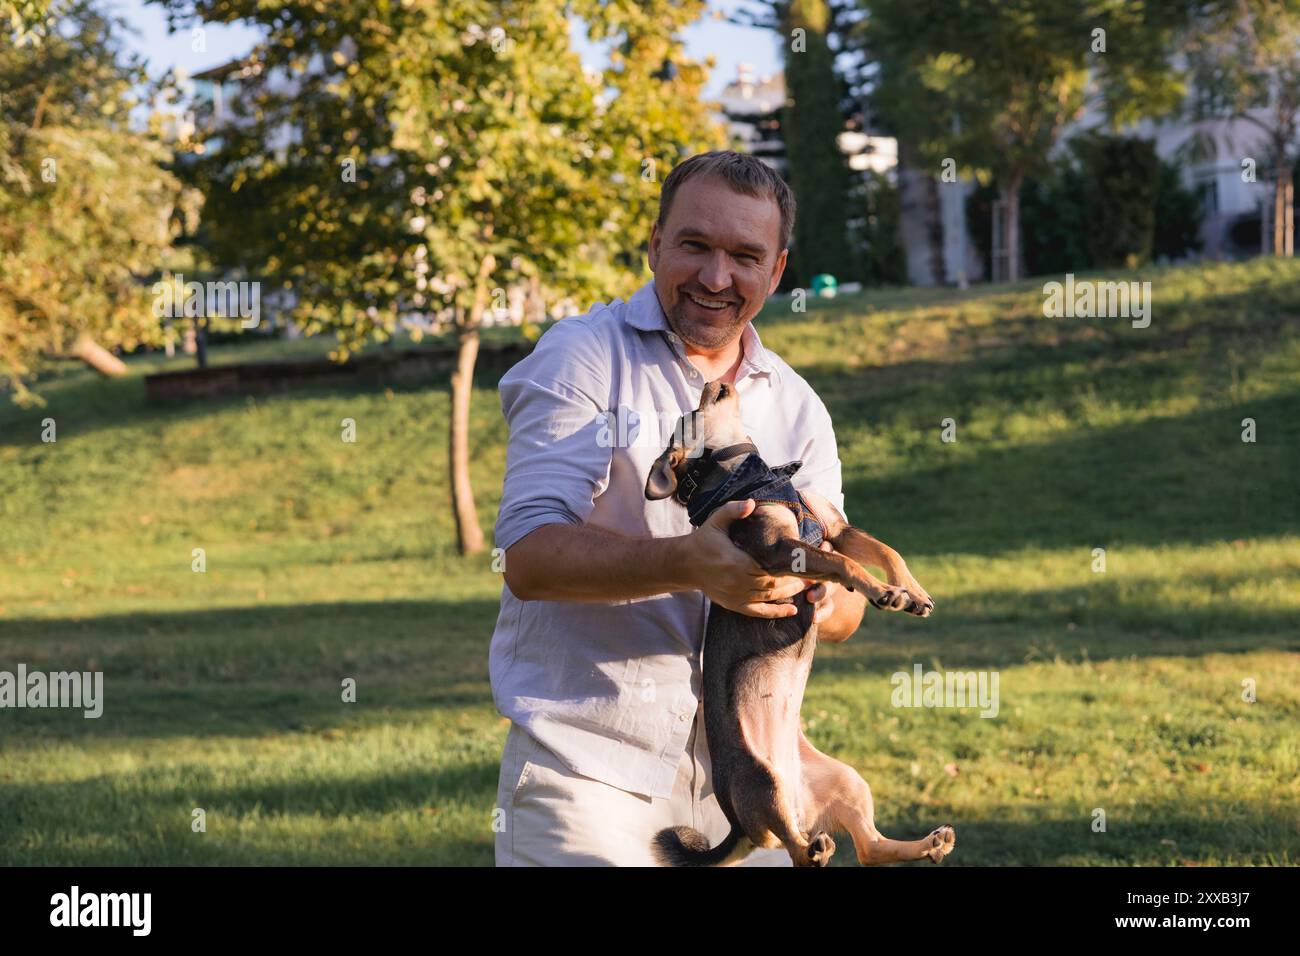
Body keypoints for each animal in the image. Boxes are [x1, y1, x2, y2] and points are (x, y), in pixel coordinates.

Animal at [642, 382, 956, 868]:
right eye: (690, 413)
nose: (712, 383)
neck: (754, 476)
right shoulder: (781, 550)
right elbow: (843, 565)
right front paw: (881, 591)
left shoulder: (838, 530)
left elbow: (887, 552)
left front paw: (911, 592)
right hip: (762, 780)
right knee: (796, 849)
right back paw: (817, 848)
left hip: (847, 779)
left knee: (869, 848)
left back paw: (930, 843)